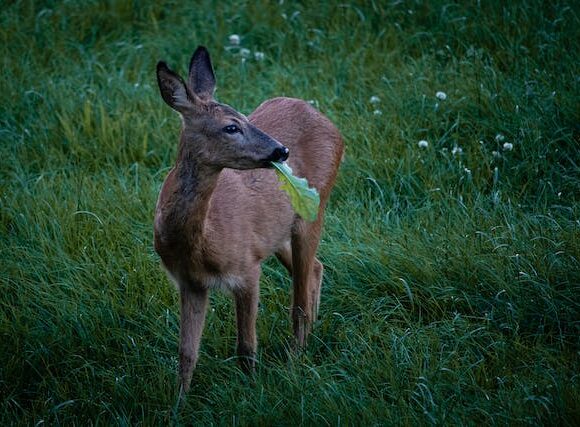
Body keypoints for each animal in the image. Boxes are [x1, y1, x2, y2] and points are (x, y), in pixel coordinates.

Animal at [154, 46, 344, 394]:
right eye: (231, 127)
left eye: (244, 117)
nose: (280, 150)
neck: (200, 243)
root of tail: (326, 121)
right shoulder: (190, 282)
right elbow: (186, 354)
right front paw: (177, 402)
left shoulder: (246, 268)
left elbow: (245, 346)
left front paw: (252, 391)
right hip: (278, 233)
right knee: (316, 268)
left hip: (315, 209)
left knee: (298, 301)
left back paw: (295, 362)